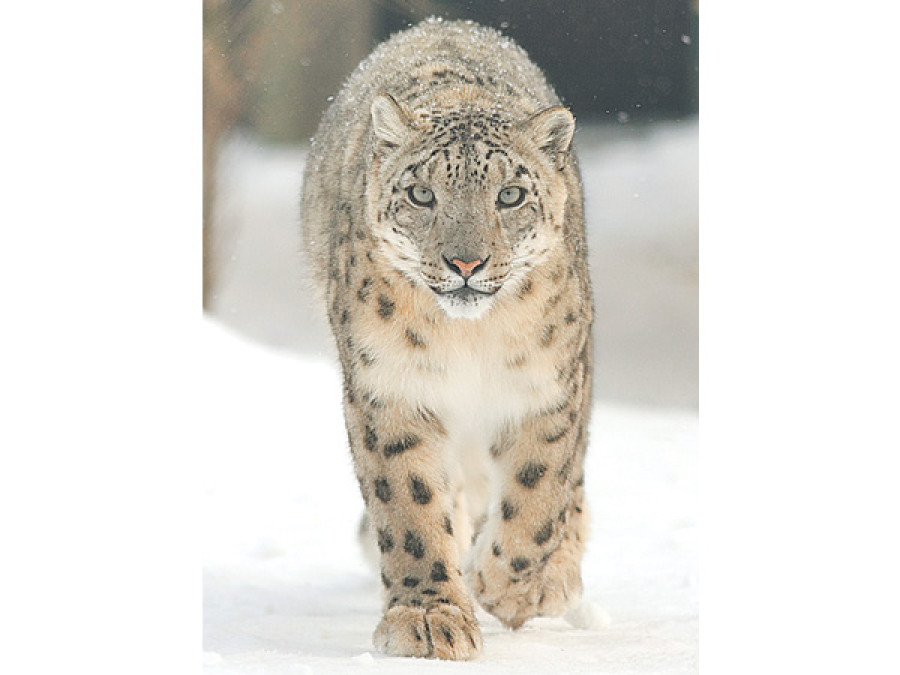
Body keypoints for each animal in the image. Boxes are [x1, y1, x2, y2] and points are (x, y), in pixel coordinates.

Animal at [301, 18, 593, 660]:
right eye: (421, 194)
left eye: (510, 195)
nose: (465, 262)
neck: (470, 341)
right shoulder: (389, 387)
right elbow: (410, 505)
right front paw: (430, 617)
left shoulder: (547, 387)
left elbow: (539, 496)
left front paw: (506, 588)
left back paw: (556, 576)